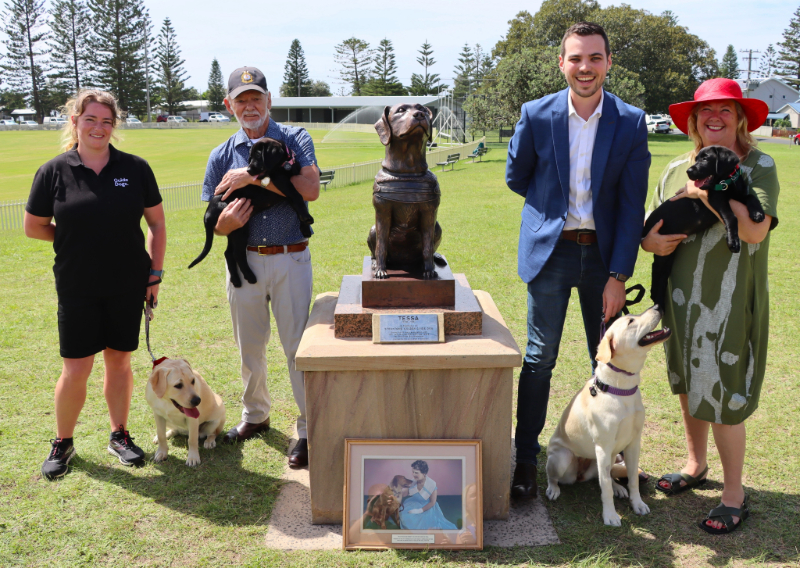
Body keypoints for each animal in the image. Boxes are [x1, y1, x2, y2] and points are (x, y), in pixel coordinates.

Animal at [189, 138, 314, 288]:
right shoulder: (281, 181)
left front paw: (305, 226)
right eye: (251, 157)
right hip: (240, 228)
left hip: (233, 229)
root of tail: (208, 212)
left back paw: (236, 280)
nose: (248, 170)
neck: (285, 164)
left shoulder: (289, 190)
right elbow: (297, 196)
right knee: (238, 253)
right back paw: (250, 276)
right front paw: (307, 218)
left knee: (228, 253)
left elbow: (297, 205)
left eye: (259, 155)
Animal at [544, 308, 668, 524]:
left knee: (606, 477)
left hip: (607, 457)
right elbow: (605, 490)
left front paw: (637, 504)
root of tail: (580, 474)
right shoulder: (603, 446)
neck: (621, 390)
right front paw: (610, 515)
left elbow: (632, 480)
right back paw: (553, 488)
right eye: (630, 321)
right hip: (563, 458)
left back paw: (618, 487)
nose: (658, 307)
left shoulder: (633, 442)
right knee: (554, 474)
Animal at [640, 144, 764, 308]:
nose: (688, 171)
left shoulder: (738, 195)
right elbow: (732, 217)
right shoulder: (716, 198)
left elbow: (751, 197)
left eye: (705, 159)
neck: (727, 181)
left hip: (667, 254)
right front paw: (733, 241)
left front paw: (758, 213)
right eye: (697, 158)